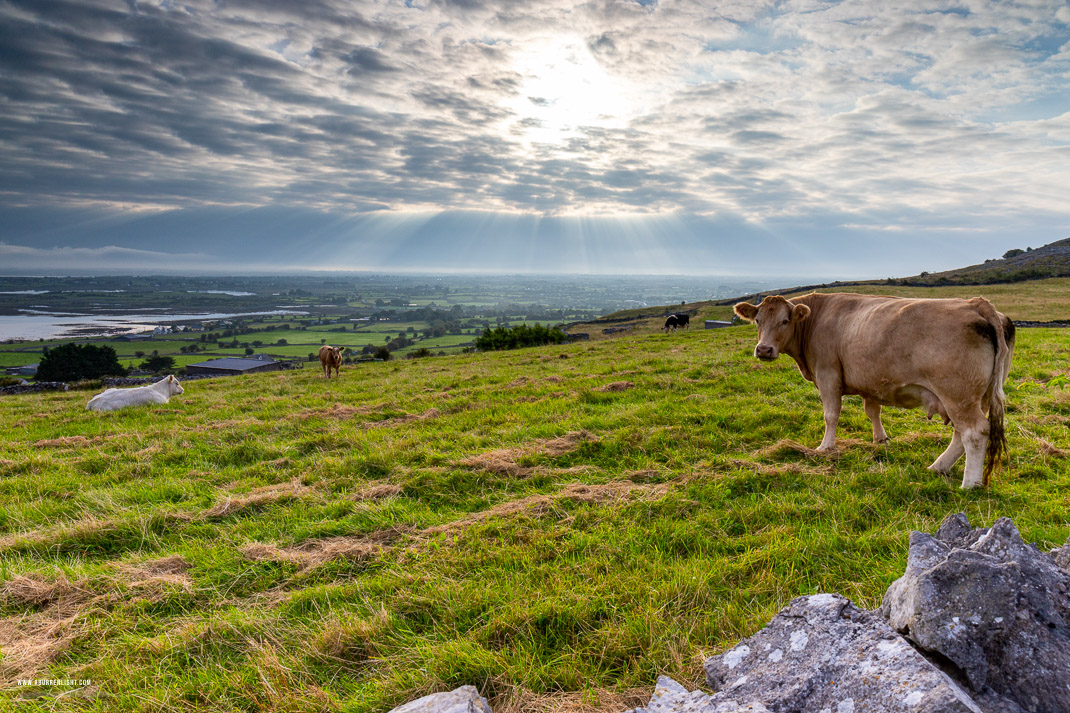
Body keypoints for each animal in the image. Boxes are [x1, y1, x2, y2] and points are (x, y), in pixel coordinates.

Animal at [731, 291, 1014, 486]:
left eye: (785, 320)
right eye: (757, 320)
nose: (764, 350)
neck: (816, 318)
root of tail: (976, 303)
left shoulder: (827, 374)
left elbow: (831, 415)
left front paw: (825, 447)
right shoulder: (871, 383)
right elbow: (873, 411)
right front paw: (880, 439)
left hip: (958, 395)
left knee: (974, 432)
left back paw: (970, 483)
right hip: (977, 397)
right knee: (961, 434)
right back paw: (938, 467)